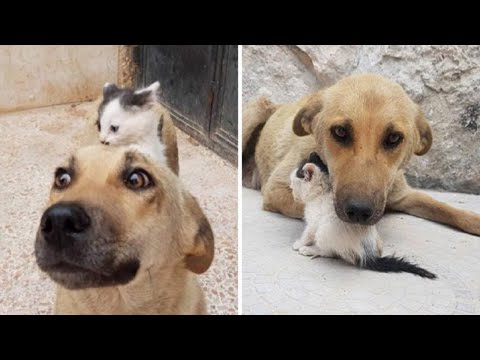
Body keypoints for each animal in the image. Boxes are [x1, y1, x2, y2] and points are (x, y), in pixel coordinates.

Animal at [244, 73, 480, 236]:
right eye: (340, 132)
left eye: (394, 138)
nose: (358, 211)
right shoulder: (276, 190)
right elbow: (316, 205)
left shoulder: (404, 195)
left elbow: (445, 208)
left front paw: (473, 219)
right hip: (255, 109)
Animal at [288, 153, 436, 280]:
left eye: (293, 184)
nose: (293, 195)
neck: (322, 192)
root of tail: (367, 256)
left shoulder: (315, 222)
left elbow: (307, 234)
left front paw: (299, 243)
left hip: (325, 231)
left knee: (331, 252)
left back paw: (310, 250)